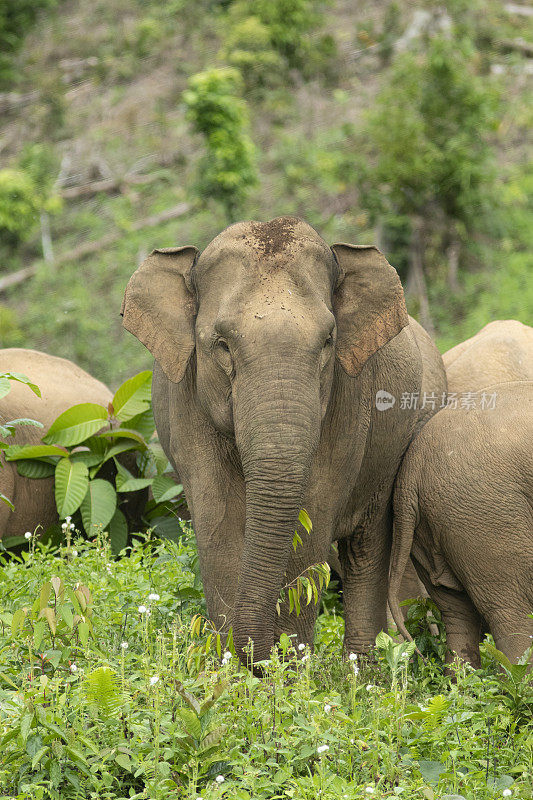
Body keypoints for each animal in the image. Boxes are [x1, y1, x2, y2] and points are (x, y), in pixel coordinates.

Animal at [121, 214, 444, 664]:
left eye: (328, 341)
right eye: (222, 345)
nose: (262, 656)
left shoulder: (350, 401)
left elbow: (313, 516)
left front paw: (288, 667)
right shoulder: (185, 404)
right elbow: (218, 520)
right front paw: (235, 666)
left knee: (365, 549)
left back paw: (361, 672)